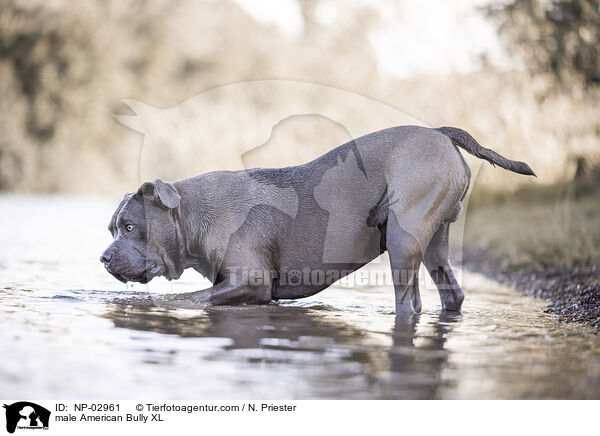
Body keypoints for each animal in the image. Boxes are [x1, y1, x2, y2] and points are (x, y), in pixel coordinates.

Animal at [99, 125, 536, 314]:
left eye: (130, 227)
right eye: (111, 228)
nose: (103, 258)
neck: (193, 215)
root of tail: (440, 133)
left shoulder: (249, 282)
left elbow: (191, 296)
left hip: (404, 239)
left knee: (409, 302)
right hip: (435, 242)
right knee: (451, 292)